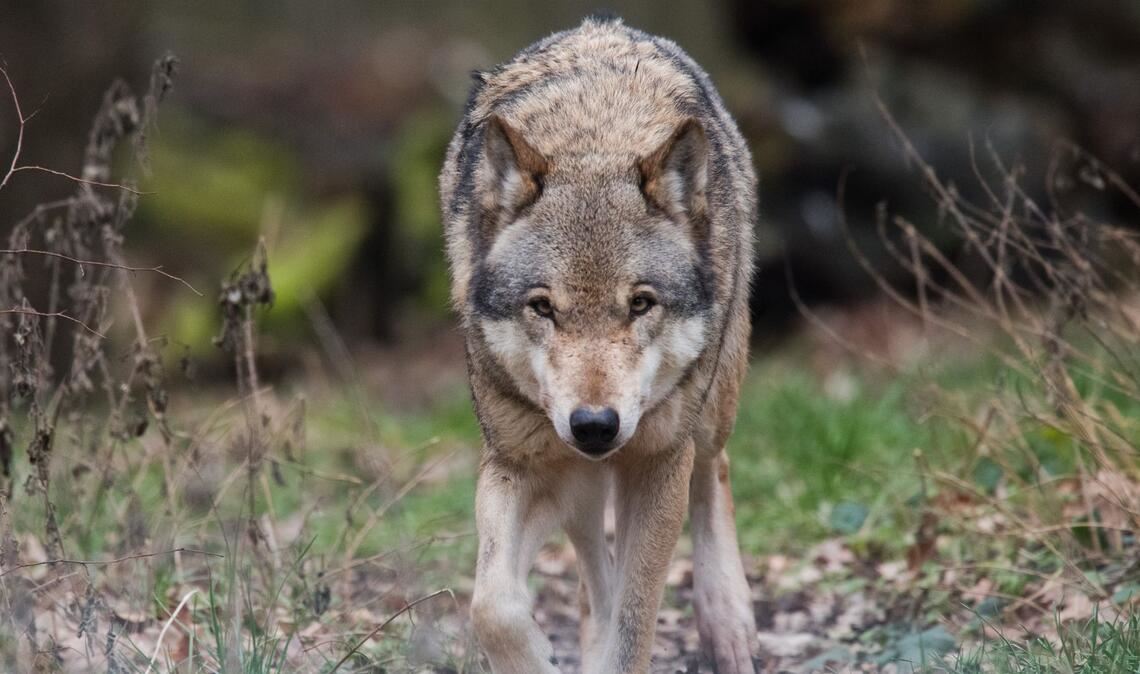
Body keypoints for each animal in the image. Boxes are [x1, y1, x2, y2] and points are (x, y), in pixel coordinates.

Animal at [440, 14, 758, 674]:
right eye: (543, 307)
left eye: (640, 303)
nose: (594, 425)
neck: (595, 139)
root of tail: (606, 24)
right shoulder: (519, 460)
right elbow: (491, 606)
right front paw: (536, 655)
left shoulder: (659, 463)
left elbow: (634, 626)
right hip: (577, 479)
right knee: (592, 565)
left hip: (709, 409)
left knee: (714, 470)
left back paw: (729, 625)